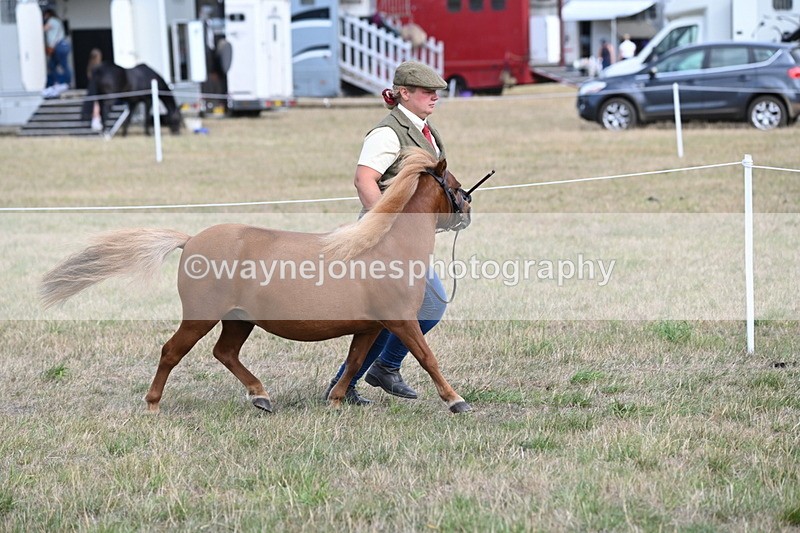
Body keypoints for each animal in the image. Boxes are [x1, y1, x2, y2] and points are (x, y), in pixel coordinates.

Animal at [39, 148, 474, 414]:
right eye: (455, 185)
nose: (468, 211)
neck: (386, 247)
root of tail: (190, 239)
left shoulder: (369, 327)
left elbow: (353, 363)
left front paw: (336, 401)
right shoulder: (401, 321)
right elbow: (428, 357)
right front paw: (456, 401)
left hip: (238, 320)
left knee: (225, 353)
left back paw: (261, 397)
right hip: (201, 317)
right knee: (171, 352)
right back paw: (153, 403)